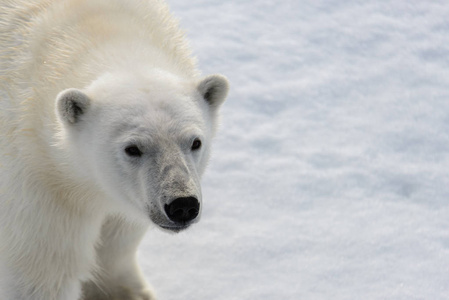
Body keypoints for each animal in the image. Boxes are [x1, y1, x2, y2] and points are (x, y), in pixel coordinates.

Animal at [0, 0, 226, 300]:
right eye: (133, 148)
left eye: (195, 142)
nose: (182, 205)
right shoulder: (38, 182)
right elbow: (44, 272)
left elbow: (117, 239)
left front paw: (128, 292)